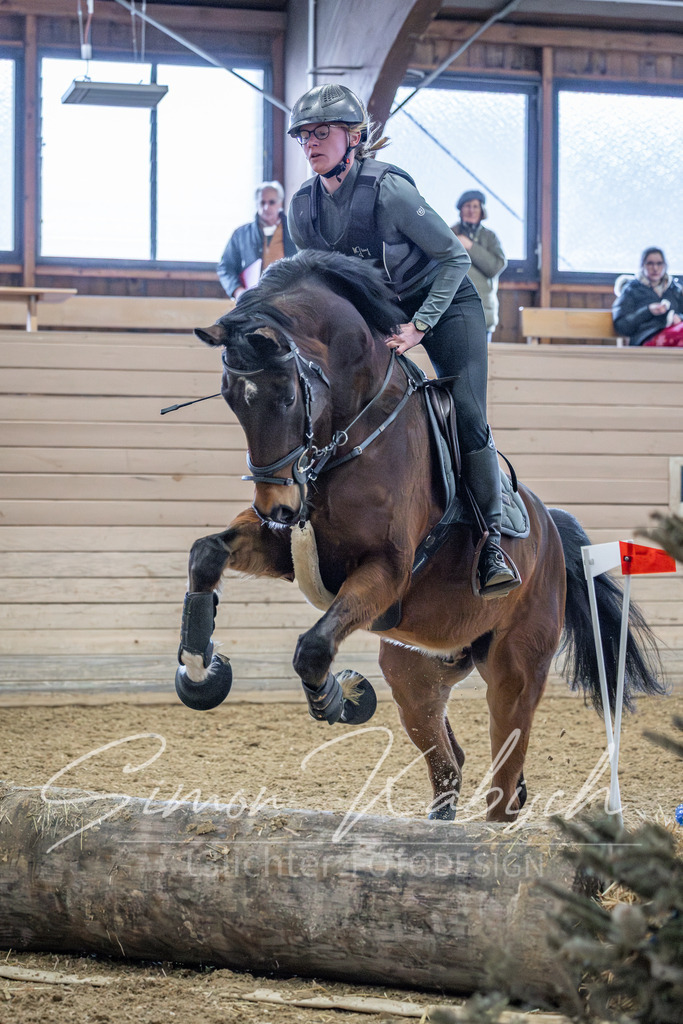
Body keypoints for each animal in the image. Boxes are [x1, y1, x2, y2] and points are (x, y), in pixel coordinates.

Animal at [174, 249, 663, 823]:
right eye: (232, 398)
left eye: (289, 395)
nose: (276, 506)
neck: (350, 434)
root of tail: (551, 531)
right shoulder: (289, 550)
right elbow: (207, 553)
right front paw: (199, 671)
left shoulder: (385, 571)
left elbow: (313, 647)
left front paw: (342, 698)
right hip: (418, 670)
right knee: (452, 759)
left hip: (515, 668)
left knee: (503, 773)